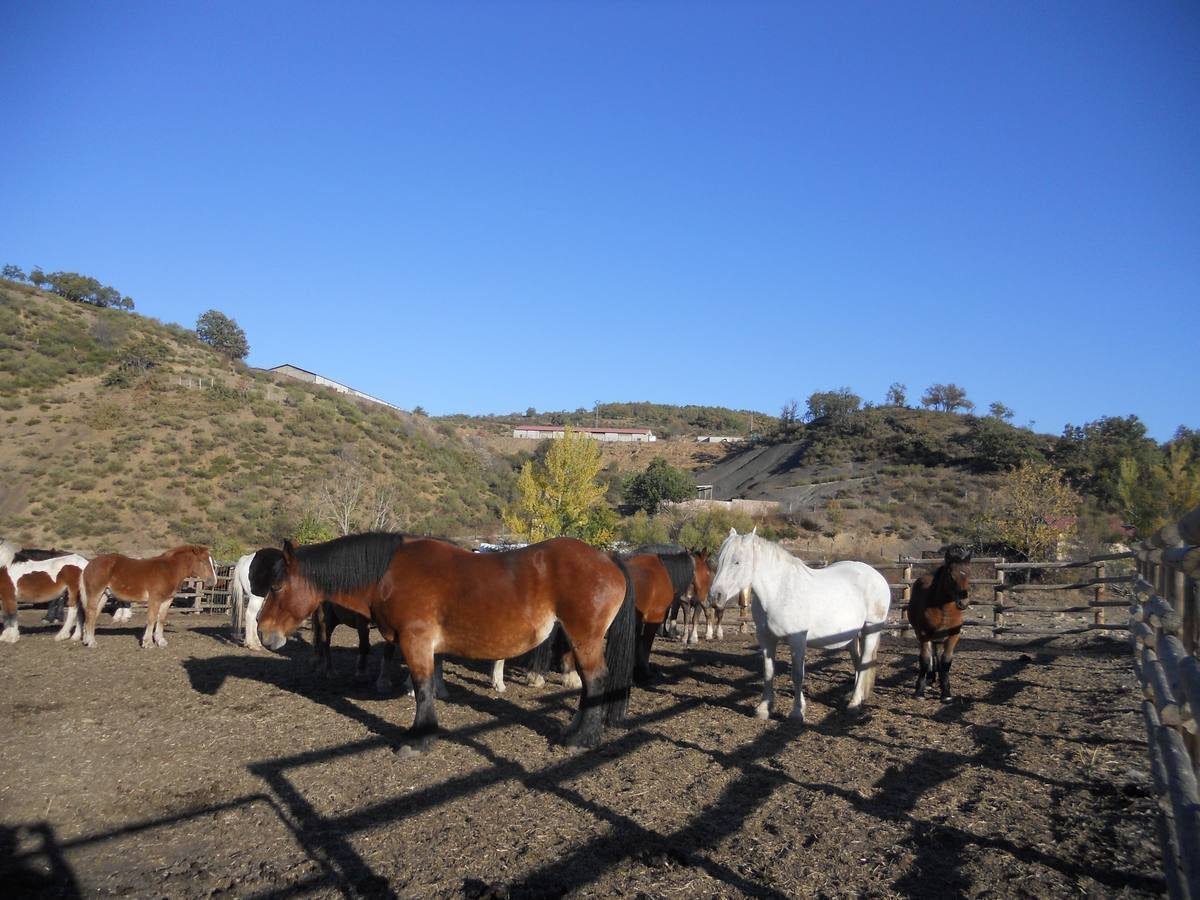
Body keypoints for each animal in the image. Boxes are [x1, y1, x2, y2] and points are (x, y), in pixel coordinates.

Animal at [75, 542, 217, 648]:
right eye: (203, 561)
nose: (213, 581)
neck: (168, 570)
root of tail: (88, 565)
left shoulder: (167, 600)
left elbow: (161, 619)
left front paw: (160, 641)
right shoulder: (155, 599)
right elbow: (152, 619)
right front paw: (148, 643)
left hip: (104, 595)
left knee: (92, 615)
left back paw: (87, 640)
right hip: (95, 593)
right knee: (90, 613)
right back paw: (91, 642)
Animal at [258, 532, 643, 748]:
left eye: (276, 586)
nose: (262, 632)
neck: (389, 573)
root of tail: (608, 558)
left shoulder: (416, 642)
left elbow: (424, 688)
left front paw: (421, 737)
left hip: (584, 639)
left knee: (595, 682)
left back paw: (581, 739)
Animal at [700, 528, 892, 724]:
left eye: (737, 561)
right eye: (719, 560)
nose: (714, 597)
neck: (779, 592)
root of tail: (876, 575)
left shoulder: (797, 640)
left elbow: (798, 675)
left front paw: (797, 713)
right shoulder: (766, 639)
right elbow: (768, 671)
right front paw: (763, 709)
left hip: (871, 628)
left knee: (865, 662)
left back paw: (854, 704)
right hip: (852, 636)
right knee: (858, 662)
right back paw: (857, 698)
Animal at [907, 547, 974, 700]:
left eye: (968, 573)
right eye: (951, 575)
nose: (963, 603)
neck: (943, 609)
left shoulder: (954, 634)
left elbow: (946, 661)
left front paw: (946, 693)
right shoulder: (923, 634)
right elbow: (925, 660)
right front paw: (919, 691)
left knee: (937, 653)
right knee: (931, 655)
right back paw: (930, 679)